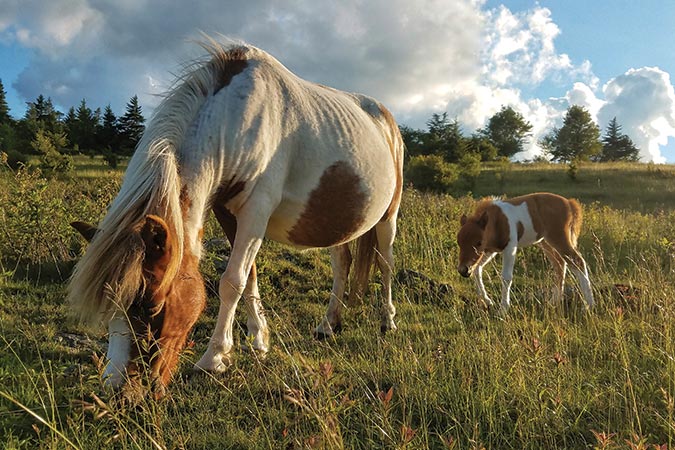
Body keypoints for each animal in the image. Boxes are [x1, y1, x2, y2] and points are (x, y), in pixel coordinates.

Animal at [68, 38, 404, 395]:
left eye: (151, 306)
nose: (120, 392)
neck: (238, 117)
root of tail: (388, 122)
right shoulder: (228, 213)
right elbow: (249, 276)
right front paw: (260, 342)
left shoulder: (256, 211)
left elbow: (232, 281)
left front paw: (214, 358)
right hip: (338, 224)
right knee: (343, 264)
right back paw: (327, 325)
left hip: (389, 217)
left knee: (385, 264)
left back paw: (388, 320)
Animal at [456, 192, 594, 311]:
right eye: (459, 242)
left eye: (479, 242)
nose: (463, 270)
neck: (497, 220)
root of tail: (570, 203)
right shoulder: (491, 250)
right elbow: (477, 269)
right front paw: (488, 301)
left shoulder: (510, 247)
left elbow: (506, 277)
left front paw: (503, 308)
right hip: (545, 242)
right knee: (560, 264)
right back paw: (554, 301)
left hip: (559, 239)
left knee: (578, 262)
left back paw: (589, 305)